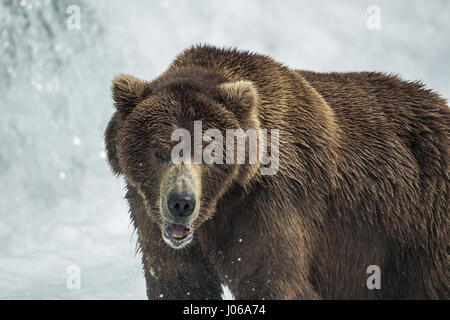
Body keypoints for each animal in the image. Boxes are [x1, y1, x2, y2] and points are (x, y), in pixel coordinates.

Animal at [103, 45, 448, 300]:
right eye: (160, 151)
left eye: (208, 151)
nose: (181, 203)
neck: (222, 201)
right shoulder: (150, 212)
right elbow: (179, 281)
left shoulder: (269, 205)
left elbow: (273, 281)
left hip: (421, 225)